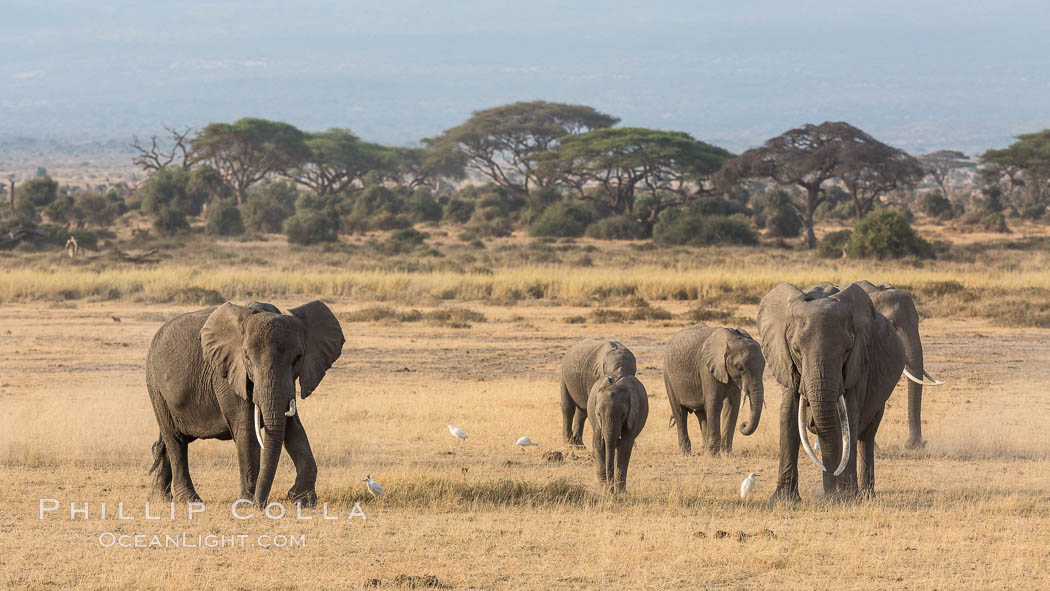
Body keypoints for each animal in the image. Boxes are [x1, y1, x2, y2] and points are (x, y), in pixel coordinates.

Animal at [663, 323, 764, 457]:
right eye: (740, 368)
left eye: (764, 367)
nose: (744, 424)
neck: (731, 340)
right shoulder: (706, 367)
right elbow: (714, 403)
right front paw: (713, 456)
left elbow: (732, 406)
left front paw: (727, 455)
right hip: (668, 376)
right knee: (679, 411)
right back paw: (686, 453)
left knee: (701, 413)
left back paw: (704, 450)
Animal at [760, 281, 907, 499]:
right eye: (796, 350)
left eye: (846, 350)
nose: (830, 492)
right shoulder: (784, 361)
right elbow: (788, 414)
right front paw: (782, 500)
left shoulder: (858, 363)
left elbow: (849, 418)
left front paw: (844, 498)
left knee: (866, 436)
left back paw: (864, 495)